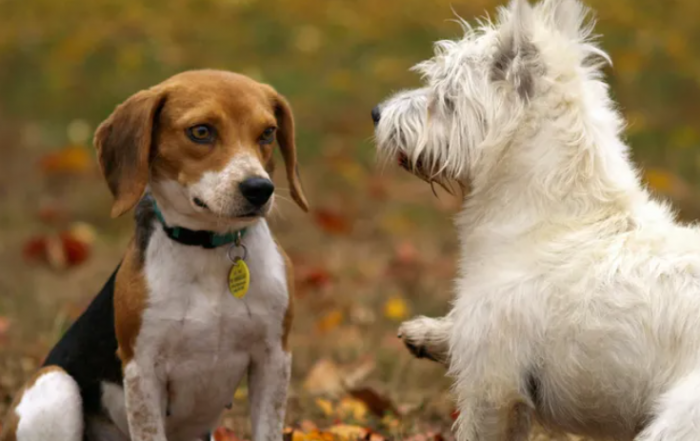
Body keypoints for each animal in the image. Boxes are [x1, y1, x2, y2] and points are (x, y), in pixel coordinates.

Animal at [0, 69, 306, 440]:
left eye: (268, 133)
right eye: (201, 131)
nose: (259, 189)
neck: (208, 247)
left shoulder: (273, 358)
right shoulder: (142, 371)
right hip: (55, 385)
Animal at [374, 0, 700, 440]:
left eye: (445, 96)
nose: (376, 113)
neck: (556, 221)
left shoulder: (493, 387)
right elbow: (458, 331)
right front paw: (428, 333)